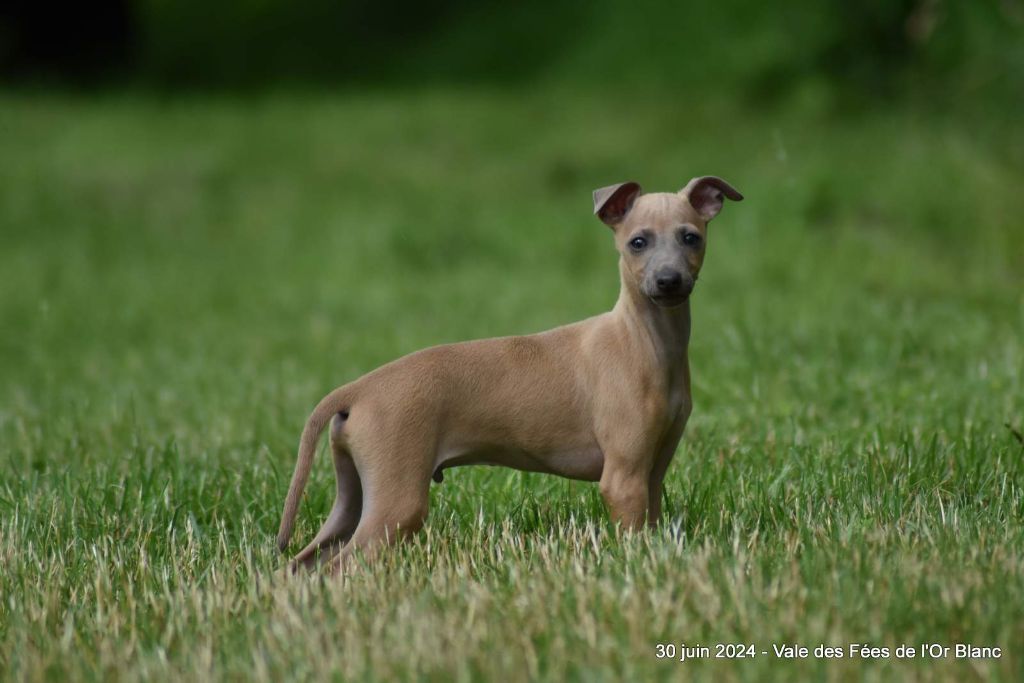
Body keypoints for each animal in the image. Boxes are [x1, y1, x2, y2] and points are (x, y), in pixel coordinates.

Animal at [280, 176, 745, 573]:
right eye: (638, 242)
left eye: (691, 237)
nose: (669, 281)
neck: (643, 341)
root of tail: (358, 388)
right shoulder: (623, 479)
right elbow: (632, 537)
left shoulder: (652, 472)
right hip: (396, 502)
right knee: (340, 566)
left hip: (353, 496)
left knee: (304, 564)